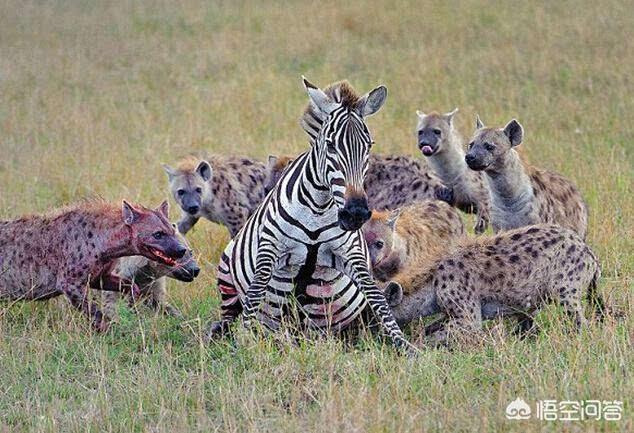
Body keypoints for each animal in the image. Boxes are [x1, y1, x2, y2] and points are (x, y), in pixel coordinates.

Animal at [205, 77, 418, 354]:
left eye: (369, 146)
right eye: (330, 145)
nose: (356, 213)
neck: (318, 208)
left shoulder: (351, 254)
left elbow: (377, 298)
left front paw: (406, 346)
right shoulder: (270, 248)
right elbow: (255, 291)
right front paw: (242, 345)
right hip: (227, 277)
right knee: (229, 317)